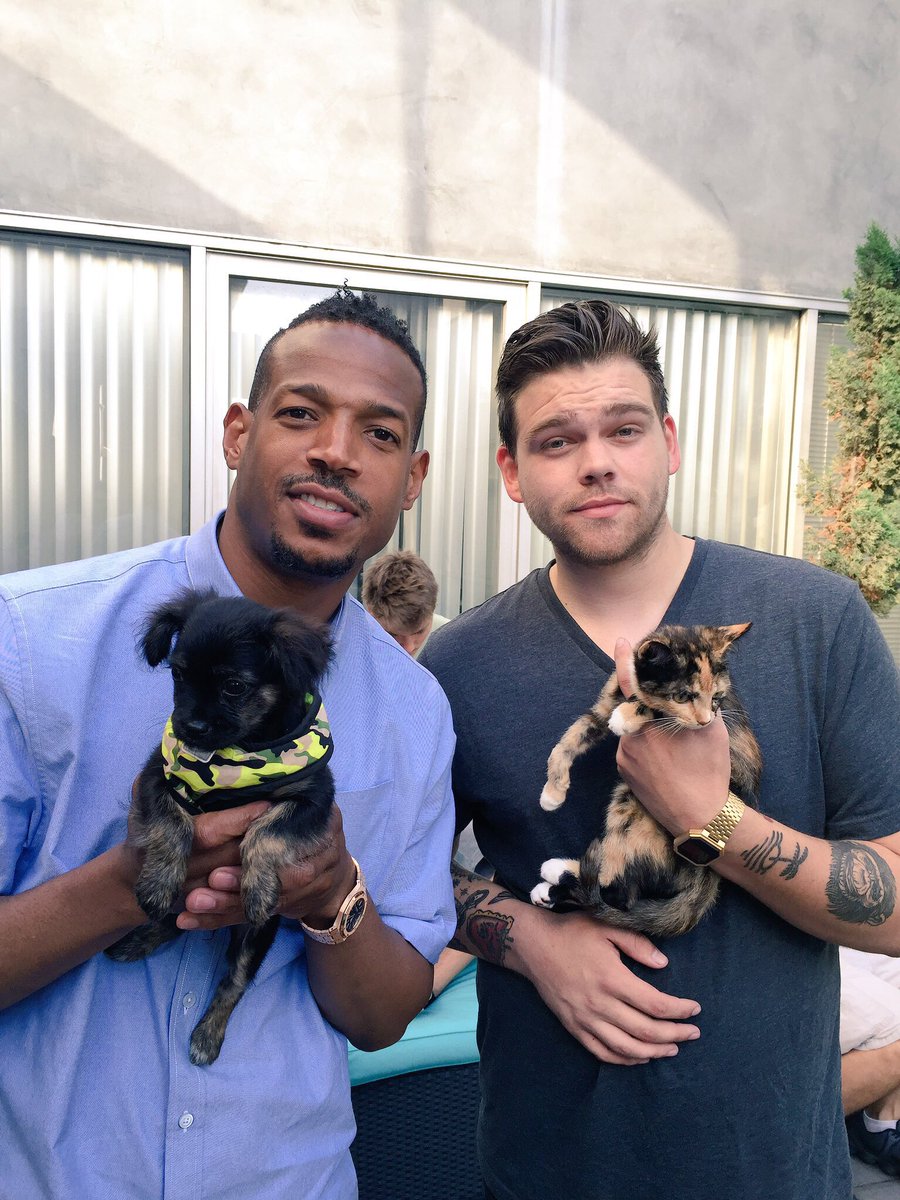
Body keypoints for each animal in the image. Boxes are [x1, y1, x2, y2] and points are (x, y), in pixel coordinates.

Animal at [106, 588, 335, 1065]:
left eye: (234, 686)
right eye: (178, 675)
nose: (190, 726)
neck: (242, 751)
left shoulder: (315, 800)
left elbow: (267, 830)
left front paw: (258, 887)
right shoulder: (157, 777)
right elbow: (172, 824)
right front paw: (158, 882)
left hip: (254, 939)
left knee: (235, 981)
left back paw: (207, 1036)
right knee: (172, 922)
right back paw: (136, 940)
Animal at [530, 623, 762, 937]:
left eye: (716, 698)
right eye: (682, 697)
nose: (704, 722)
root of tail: (707, 869)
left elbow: (653, 709)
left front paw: (628, 714)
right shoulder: (602, 707)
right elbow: (570, 738)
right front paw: (552, 793)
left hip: (632, 801)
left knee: (618, 896)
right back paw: (551, 882)